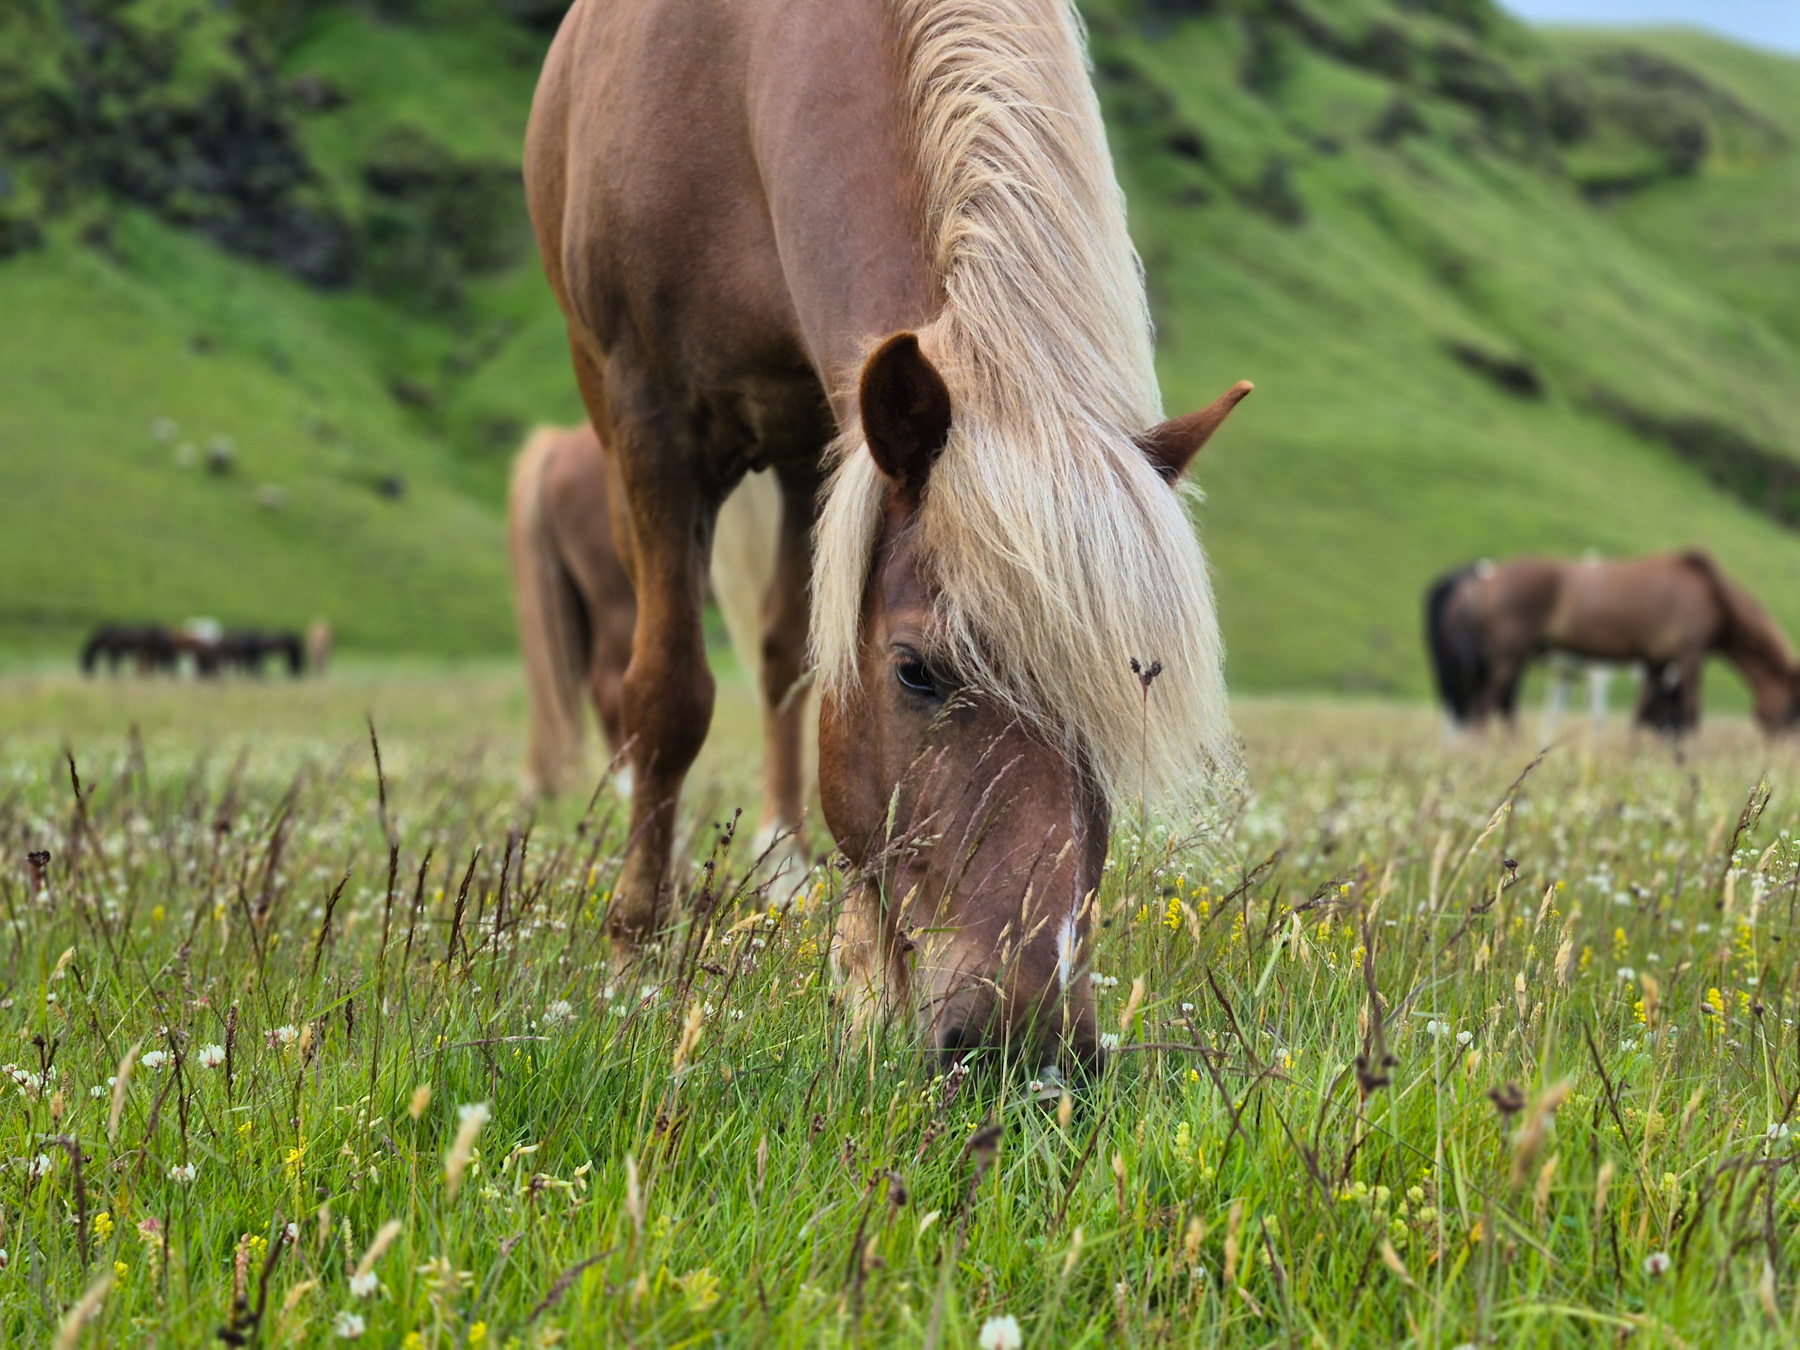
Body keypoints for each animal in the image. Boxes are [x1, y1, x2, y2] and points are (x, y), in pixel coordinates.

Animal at [525, 0, 1249, 1066]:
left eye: (1132, 681)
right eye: (917, 671)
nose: (1028, 1044)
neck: (736, 67)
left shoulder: (844, 433)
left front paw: (864, 979)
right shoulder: (649, 417)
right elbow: (668, 694)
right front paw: (631, 960)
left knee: (787, 654)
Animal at [1426, 551, 1800, 734]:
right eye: (1793, 708)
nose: (1785, 748)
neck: (1711, 595)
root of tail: (1482, 579)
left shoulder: (1656, 662)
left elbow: (1640, 714)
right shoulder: (1689, 655)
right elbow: (1691, 713)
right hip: (1508, 657)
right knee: (1483, 708)